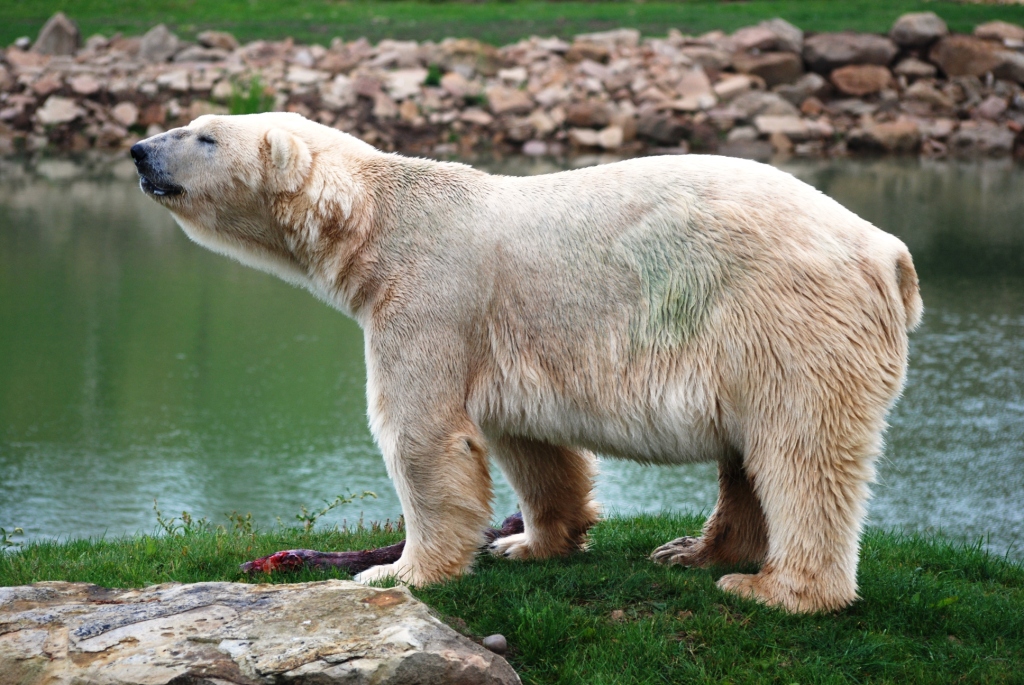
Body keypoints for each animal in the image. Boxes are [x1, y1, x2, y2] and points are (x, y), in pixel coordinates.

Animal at [130, 112, 922, 613]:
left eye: (203, 134)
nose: (139, 149)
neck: (377, 222)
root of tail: (887, 252)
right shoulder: (500, 338)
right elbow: (527, 439)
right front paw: (532, 544)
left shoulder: (431, 297)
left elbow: (421, 435)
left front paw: (398, 571)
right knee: (751, 451)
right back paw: (693, 552)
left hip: (782, 316)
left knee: (801, 448)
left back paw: (779, 590)